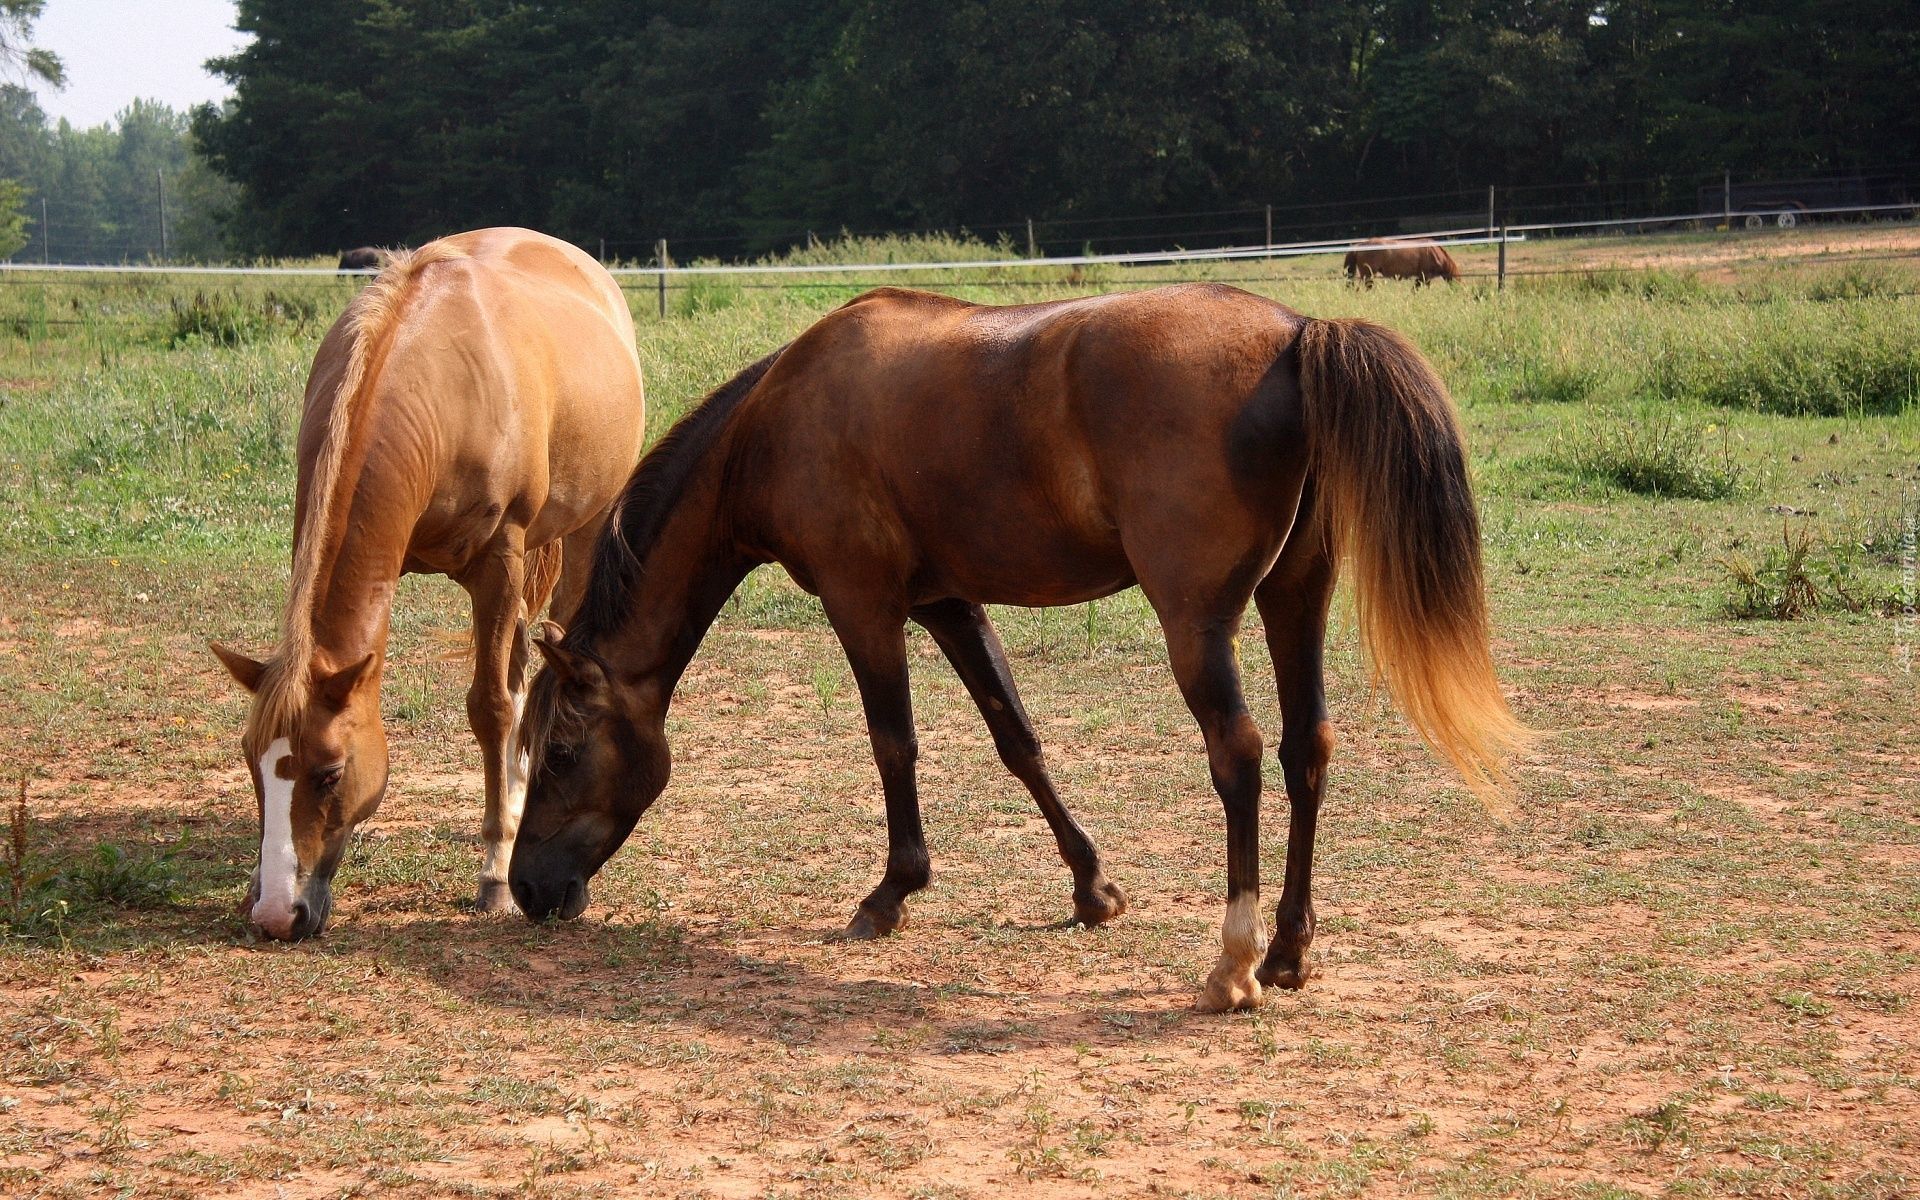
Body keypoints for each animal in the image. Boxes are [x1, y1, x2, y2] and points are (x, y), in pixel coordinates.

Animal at [208, 222, 645, 936]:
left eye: (329, 774)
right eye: (251, 763)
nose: (276, 914)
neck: (429, 384)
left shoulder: (500, 563)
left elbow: (491, 707)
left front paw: (495, 873)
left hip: (581, 532)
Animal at [510, 282, 1528, 1013]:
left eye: (558, 754)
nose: (527, 888)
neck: (777, 420)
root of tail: (1295, 334)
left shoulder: (862, 605)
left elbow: (894, 746)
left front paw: (891, 894)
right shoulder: (949, 604)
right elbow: (1018, 739)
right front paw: (1092, 890)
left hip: (1198, 624)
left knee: (1237, 756)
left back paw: (1232, 965)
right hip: (1294, 601)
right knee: (1304, 748)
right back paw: (1285, 951)